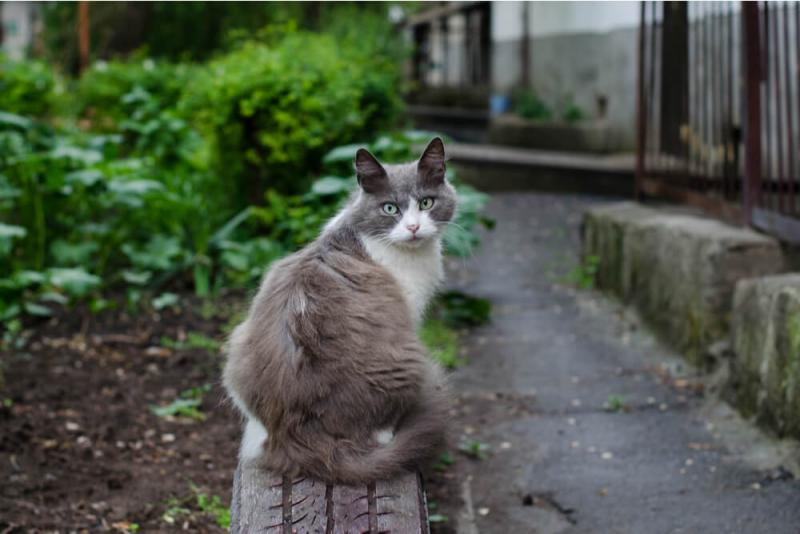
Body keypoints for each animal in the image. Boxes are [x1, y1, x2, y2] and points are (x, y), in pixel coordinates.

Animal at [222, 138, 456, 486]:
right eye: (390, 208)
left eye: (426, 203)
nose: (413, 227)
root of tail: (295, 437)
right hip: (409, 357)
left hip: (238, 344)